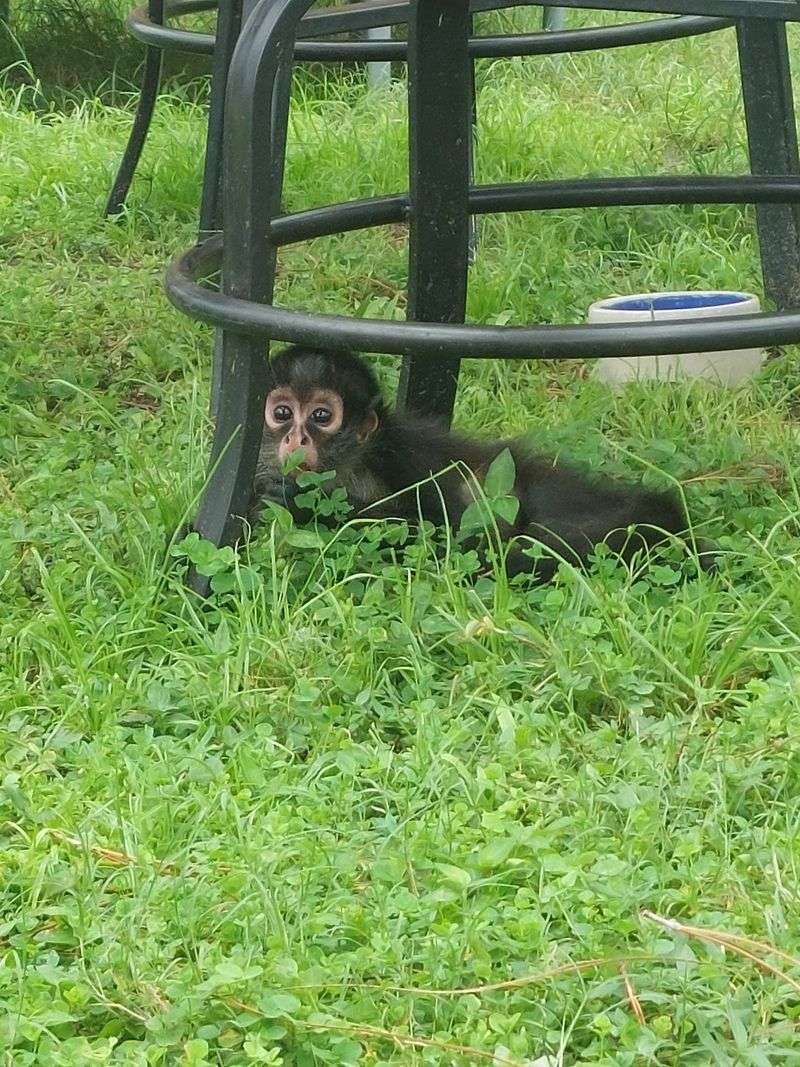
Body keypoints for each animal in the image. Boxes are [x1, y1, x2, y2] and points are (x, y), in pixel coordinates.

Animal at [250, 345, 715, 583]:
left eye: (321, 416)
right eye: (283, 413)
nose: (296, 439)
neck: (351, 465)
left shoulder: (406, 451)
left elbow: (439, 529)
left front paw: (311, 505)